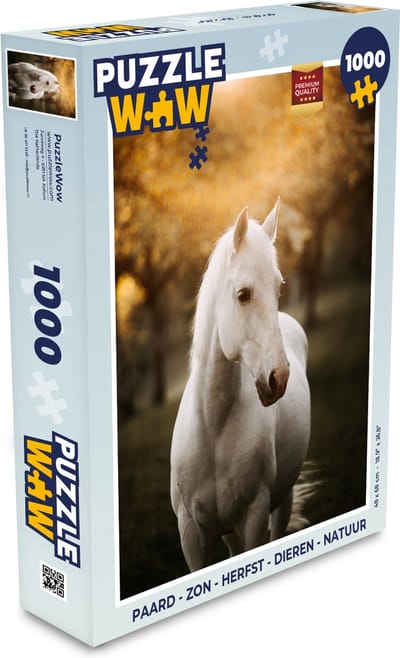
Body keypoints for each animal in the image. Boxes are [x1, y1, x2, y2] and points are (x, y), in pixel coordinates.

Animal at [170, 199, 311, 572]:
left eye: (278, 289)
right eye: (243, 295)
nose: (279, 378)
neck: (212, 426)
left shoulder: (253, 517)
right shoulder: (190, 533)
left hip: (282, 499)